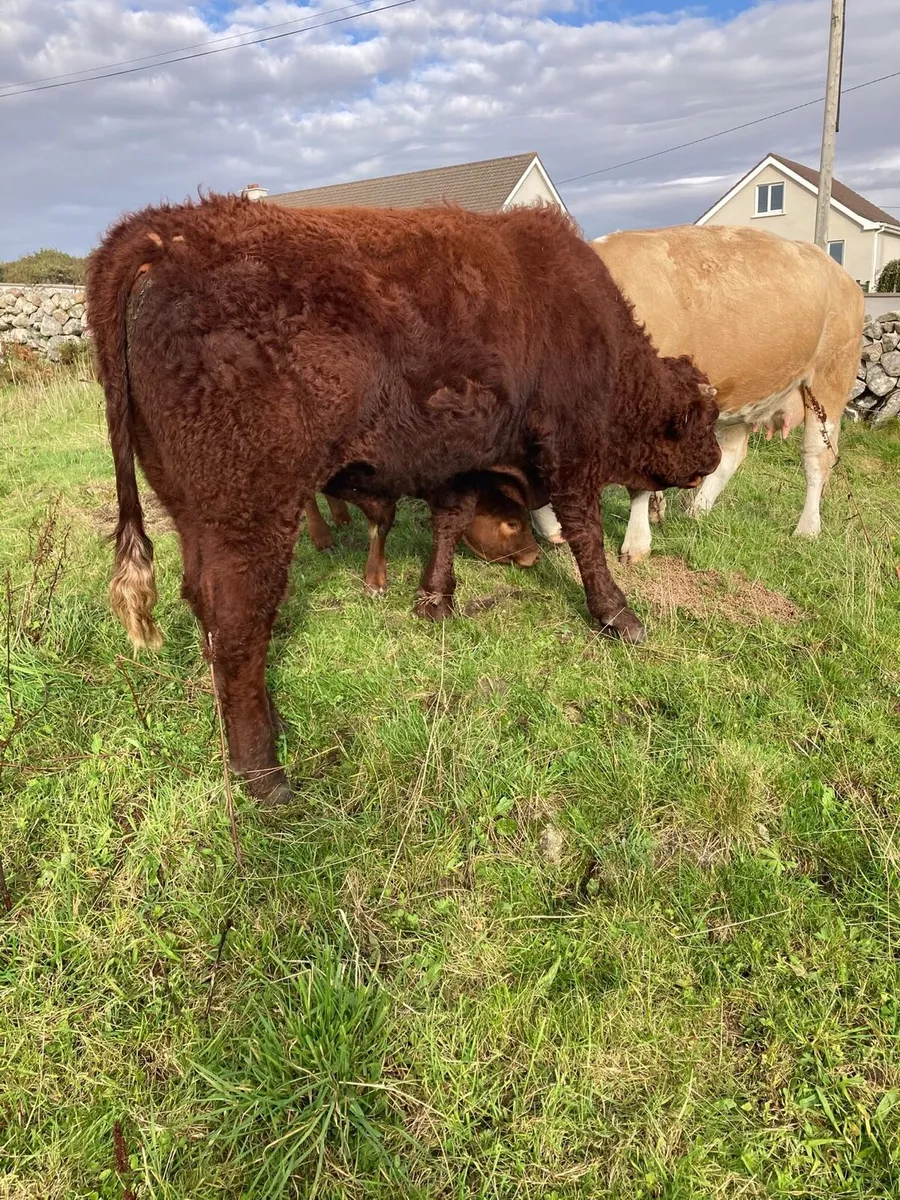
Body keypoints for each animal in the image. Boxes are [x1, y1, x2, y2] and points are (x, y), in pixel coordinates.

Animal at [87, 195, 720, 803]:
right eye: (702, 419)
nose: (713, 458)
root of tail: (159, 233)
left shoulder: (458, 462)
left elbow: (449, 521)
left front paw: (434, 599)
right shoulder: (570, 452)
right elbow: (585, 534)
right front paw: (619, 615)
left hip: (195, 513)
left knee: (209, 613)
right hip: (249, 514)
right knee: (239, 620)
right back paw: (264, 775)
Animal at [529, 224, 865, 563]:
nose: (556, 534)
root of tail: (840, 273)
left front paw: (636, 544)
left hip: (829, 379)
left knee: (816, 457)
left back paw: (807, 529)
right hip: (746, 389)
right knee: (732, 453)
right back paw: (696, 510)